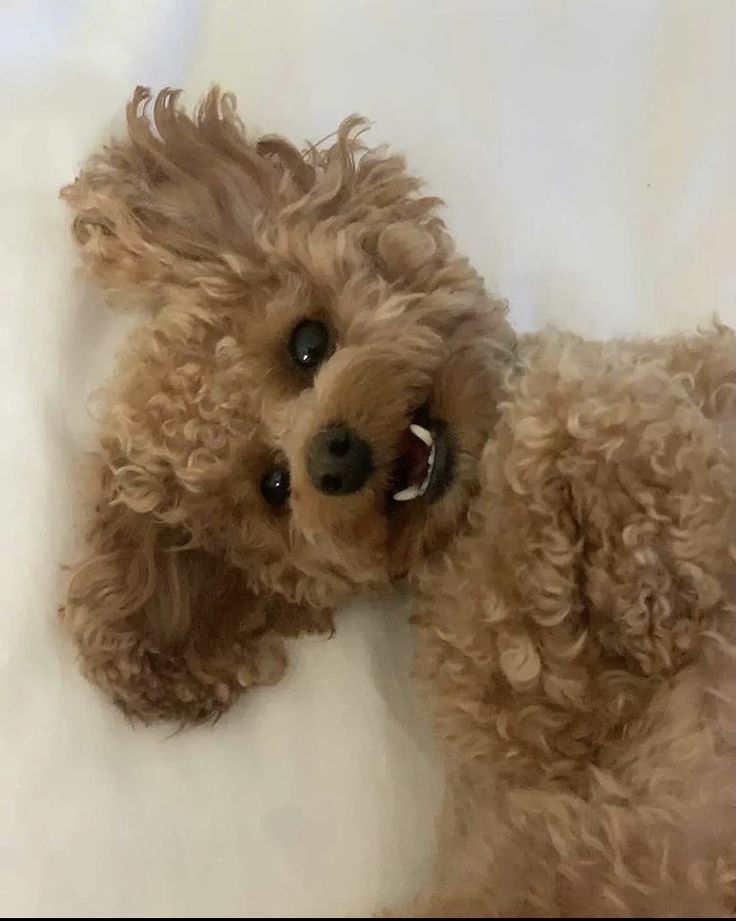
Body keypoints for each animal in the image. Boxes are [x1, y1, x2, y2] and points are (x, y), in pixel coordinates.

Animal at [60, 86, 736, 912]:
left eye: (308, 343)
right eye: (273, 487)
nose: (332, 456)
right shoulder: (532, 708)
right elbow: (562, 407)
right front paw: (657, 583)